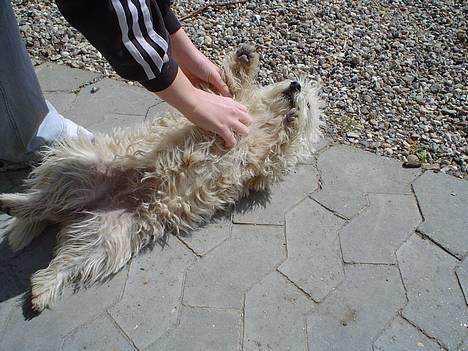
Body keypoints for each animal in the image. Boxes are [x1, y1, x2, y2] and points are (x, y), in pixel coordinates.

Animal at [0, 45, 322, 312]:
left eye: (310, 104)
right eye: (292, 82)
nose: (296, 86)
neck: (264, 121)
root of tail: (77, 209)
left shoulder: (259, 170)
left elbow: (274, 157)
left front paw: (293, 122)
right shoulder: (226, 105)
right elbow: (230, 87)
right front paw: (245, 61)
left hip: (102, 239)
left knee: (64, 257)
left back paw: (43, 285)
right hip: (80, 170)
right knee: (41, 200)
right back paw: (13, 201)